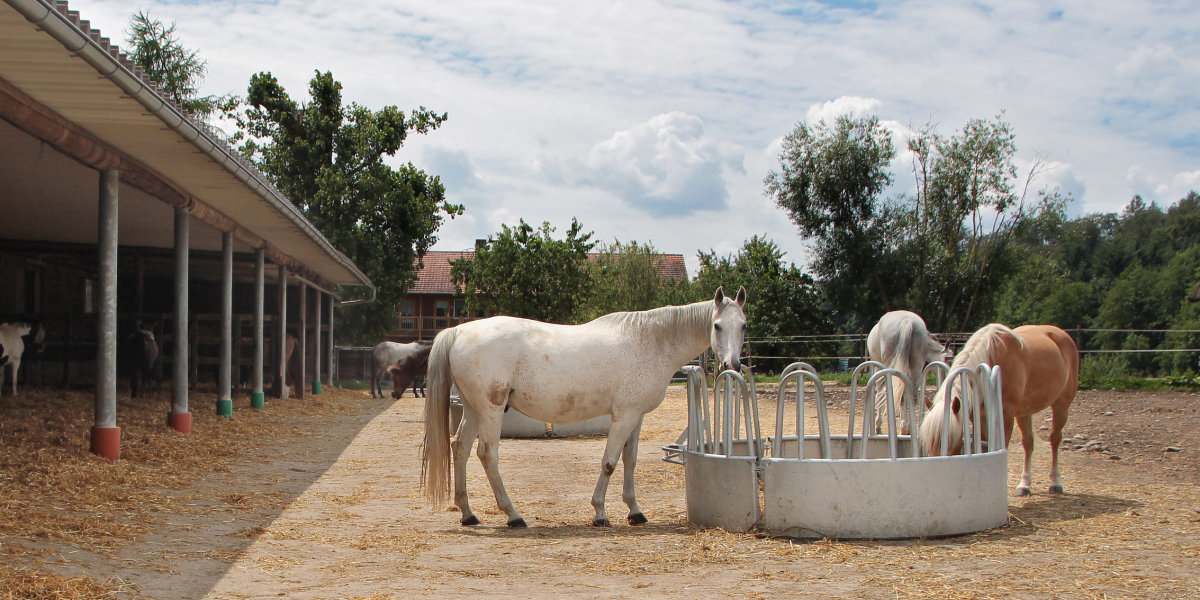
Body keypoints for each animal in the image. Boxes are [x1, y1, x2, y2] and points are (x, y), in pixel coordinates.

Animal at [417, 288, 744, 528]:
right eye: (717, 326)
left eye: (743, 325)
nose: (733, 365)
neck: (649, 343)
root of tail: (457, 333)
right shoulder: (623, 417)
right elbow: (610, 462)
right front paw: (600, 513)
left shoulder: (635, 416)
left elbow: (630, 461)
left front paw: (635, 511)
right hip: (491, 411)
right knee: (487, 455)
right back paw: (513, 515)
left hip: (473, 410)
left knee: (459, 448)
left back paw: (468, 514)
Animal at [921, 324, 1084, 496]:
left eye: (948, 438)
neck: (990, 357)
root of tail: (1063, 335)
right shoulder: (979, 417)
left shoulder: (1006, 415)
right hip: (1025, 412)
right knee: (1028, 442)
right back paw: (1024, 485)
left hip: (1061, 405)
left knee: (1055, 439)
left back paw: (1055, 483)